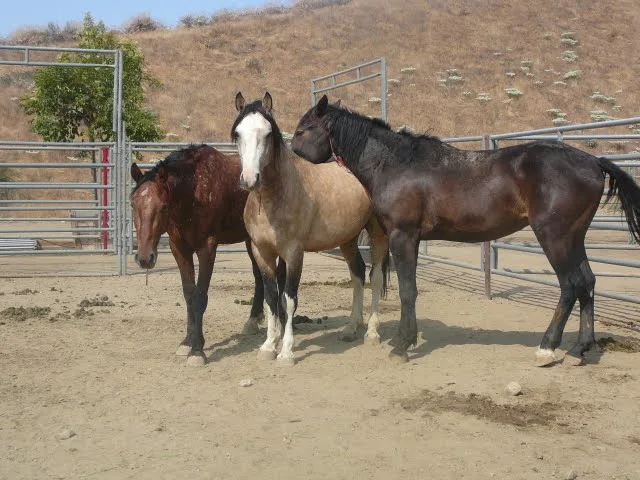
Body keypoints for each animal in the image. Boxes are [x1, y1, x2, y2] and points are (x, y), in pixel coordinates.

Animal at [130, 144, 276, 366]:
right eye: (132, 204)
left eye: (163, 206)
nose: (145, 258)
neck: (194, 191)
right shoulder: (179, 248)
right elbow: (189, 295)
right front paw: (187, 342)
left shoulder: (206, 248)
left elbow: (200, 296)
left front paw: (197, 351)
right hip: (250, 240)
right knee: (259, 275)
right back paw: (252, 320)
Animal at [231, 92, 390, 366]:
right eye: (238, 133)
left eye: (268, 134)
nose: (250, 179)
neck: (272, 199)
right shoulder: (262, 253)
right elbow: (271, 299)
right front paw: (268, 346)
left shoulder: (294, 253)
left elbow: (289, 299)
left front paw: (286, 352)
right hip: (347, 238)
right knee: (357, 273)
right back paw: (351, 328)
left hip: (377, 234)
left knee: (375, 276)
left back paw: (371, 332)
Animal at [292, 94, 640, 366]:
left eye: (303, 129)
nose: (291, 153)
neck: (396, 164)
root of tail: (593, 162)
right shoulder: (411, 239)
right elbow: (409, 289)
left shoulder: (403, 236)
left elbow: (407, 290)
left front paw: (403, 345)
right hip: (574, 238)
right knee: (588, 283)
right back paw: (581, 347)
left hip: (554, 237)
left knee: (571, 284)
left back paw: (547, 348)